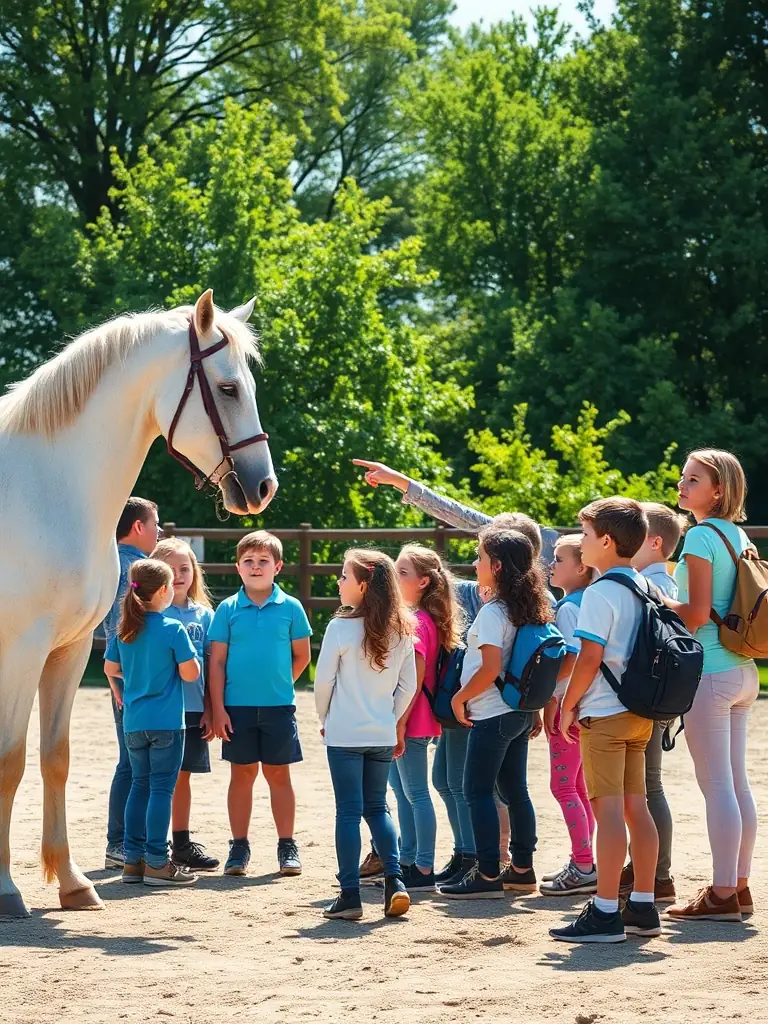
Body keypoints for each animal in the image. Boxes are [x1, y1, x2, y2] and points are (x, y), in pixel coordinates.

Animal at [0, 288, 277, 918]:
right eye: (228, 388)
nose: (263, 486)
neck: (46, 491)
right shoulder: (20, 653)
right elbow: (12, 761)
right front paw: (5, 889)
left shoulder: (70, 649)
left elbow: (54, 757)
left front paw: (72, 882)